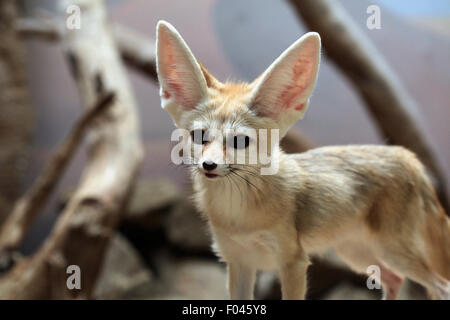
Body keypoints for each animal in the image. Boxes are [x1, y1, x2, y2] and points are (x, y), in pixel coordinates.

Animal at [156, 21, 450, 298]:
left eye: (240, 141)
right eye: (199, 136)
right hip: (357, 254)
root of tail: (407, 155)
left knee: (441, 286)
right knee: (394, 279)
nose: (209, 165)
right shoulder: (239, 262)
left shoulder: (293, 262)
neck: (238, 216)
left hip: (393, 252)